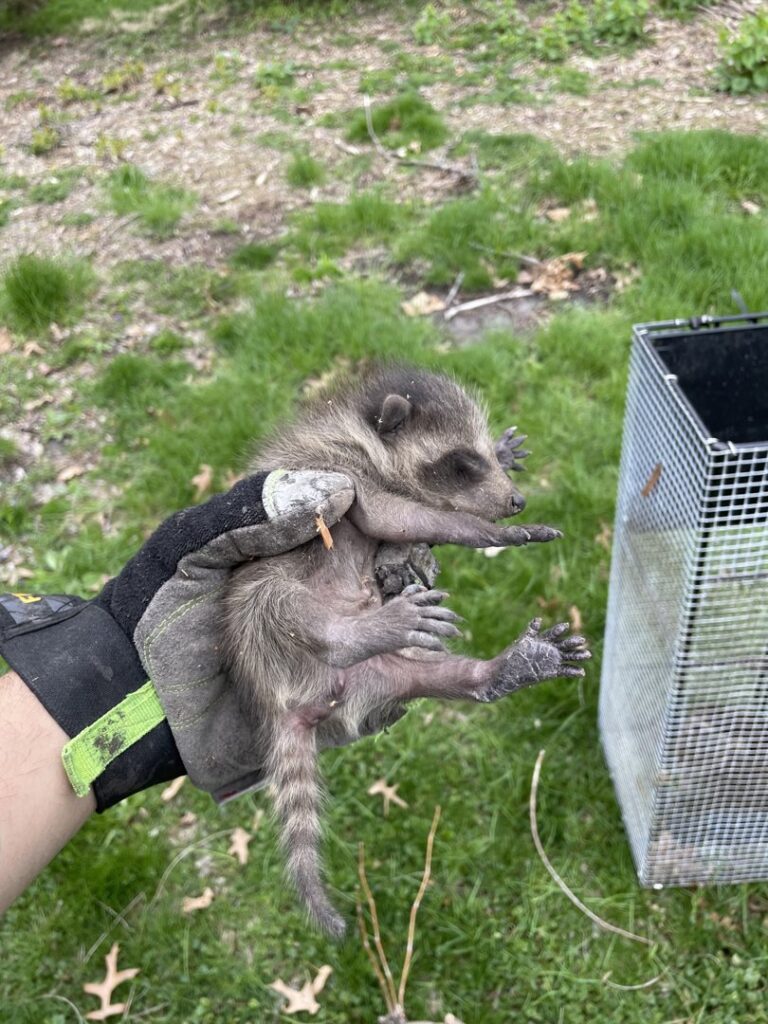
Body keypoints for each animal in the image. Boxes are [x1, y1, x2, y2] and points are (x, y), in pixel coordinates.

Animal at [221, 365, 590, 937]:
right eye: (462, 464)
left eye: (482, 455)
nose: (516, 503)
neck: (367, 433)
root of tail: (291, 698)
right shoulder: (335, 472)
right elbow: (392, 519)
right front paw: (486, 530)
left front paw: (505, 459)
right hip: (256, 612)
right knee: (282, 606)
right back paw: (356, 629)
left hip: (381, 678)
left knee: (430, 676)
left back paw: (502, 670)